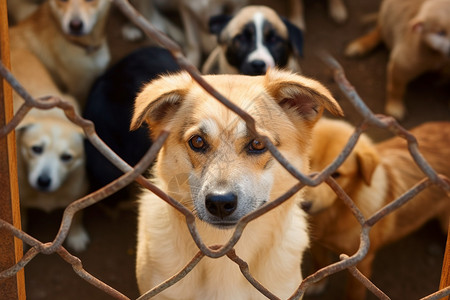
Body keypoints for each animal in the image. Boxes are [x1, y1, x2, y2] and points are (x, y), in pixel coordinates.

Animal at [11, 48, 89, 252]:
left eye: (67, 157)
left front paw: (76, 236)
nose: (43, 181)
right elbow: (21, 219)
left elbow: (76, 216)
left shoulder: (79, 192)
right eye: (36, 149)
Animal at [300, 118, 450, 300]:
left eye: (336, 174)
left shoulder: (361, 261)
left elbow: (354, 290)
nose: (304, 205)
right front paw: (317, 283)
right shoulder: (316, 241)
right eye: (307, 161)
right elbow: (319, 262)